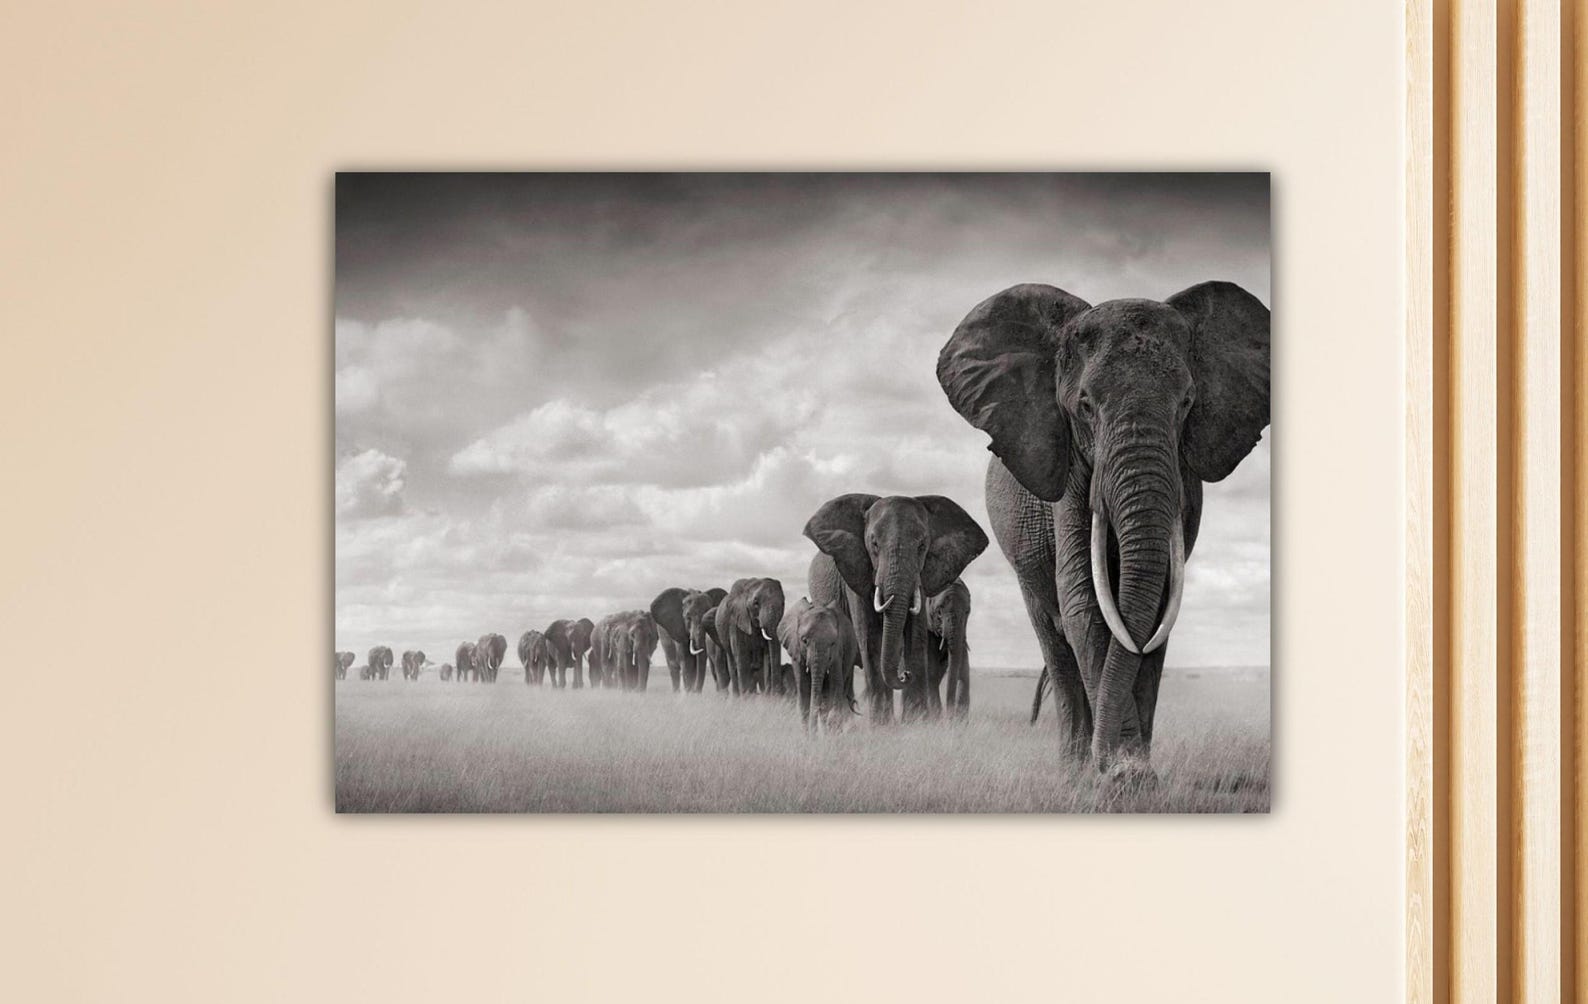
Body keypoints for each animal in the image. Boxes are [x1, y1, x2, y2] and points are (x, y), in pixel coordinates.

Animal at [778, 598, 859, 733]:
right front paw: (809, 736)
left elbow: (835, 686)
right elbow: (804, 691)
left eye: (833, 643)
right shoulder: (796, 650)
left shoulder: (837, 653)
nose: (813, 734)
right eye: (804, 640)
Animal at [924, 580, 971, 718]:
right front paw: (936, 719)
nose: (949, 715)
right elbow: (930, 670)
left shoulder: (962, 633)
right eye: (939, 612)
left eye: (967, 612)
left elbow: (964, 671)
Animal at [936, 280, 1269, 775]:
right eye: (1086, 405)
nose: (1108, 763)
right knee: (1055, 643)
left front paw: (1134, 773)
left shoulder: (1185, 477)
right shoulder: (1069, 472)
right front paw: (1119, 776)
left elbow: (1157, 612)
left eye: (1187, 403)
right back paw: (1073, 771)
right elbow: (1085, 605)